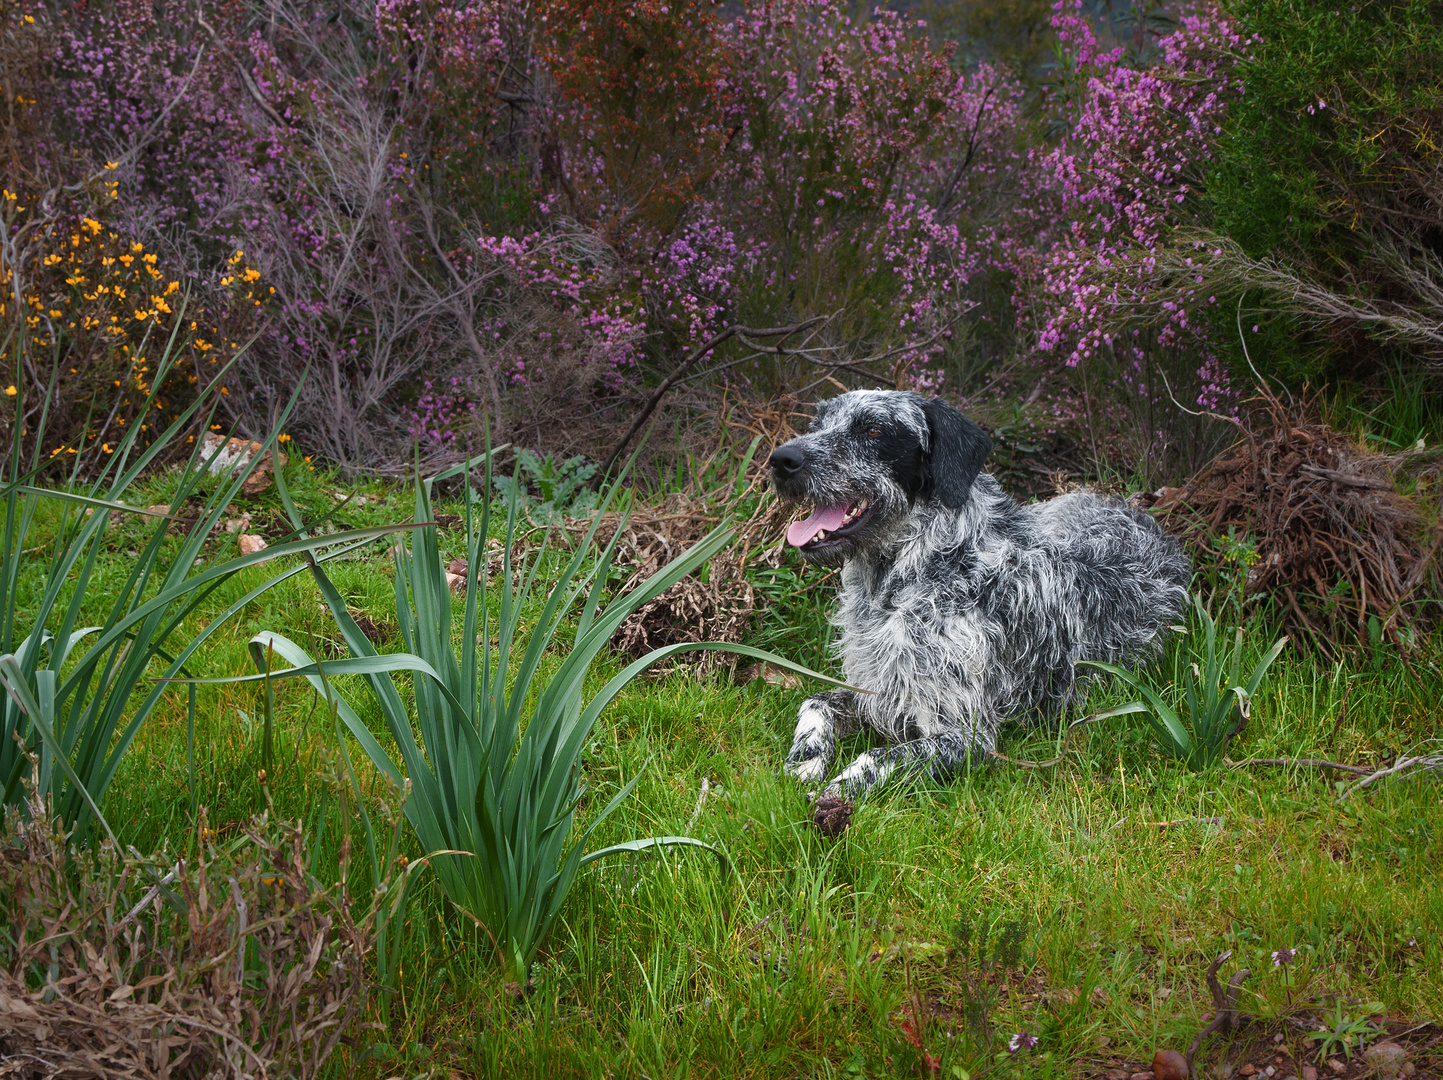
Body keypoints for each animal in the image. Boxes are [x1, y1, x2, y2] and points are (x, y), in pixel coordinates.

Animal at [773, 392, 1189, 797]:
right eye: (817, 425)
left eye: (872, 429)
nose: (781, 460)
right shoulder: (877, 691)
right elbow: (814, 702)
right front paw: (803, 763)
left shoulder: (968, 736)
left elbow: (881, 756)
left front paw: (841, 787)